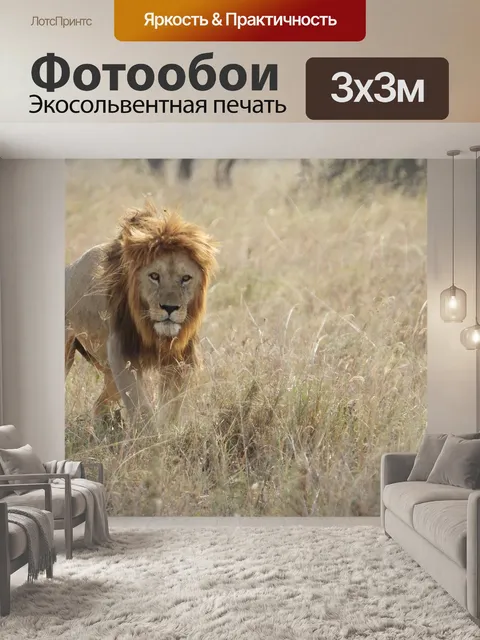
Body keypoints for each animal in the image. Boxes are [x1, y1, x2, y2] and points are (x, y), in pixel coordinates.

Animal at [65, 201, 218, 425]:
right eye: (154, 276)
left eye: (185, 278)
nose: (170, 308)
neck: (155, 333)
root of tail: (70, 267)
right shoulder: (122, 354)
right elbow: (140, 407)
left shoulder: (179, 361)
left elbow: (171, 408)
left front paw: (166, 430)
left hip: (110, 375)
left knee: (99, 405)